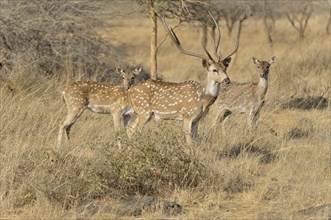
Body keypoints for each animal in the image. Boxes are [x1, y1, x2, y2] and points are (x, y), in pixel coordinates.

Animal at [127, 12, 241, 145]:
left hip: (141, 113)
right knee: (134, 130)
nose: (227, 80)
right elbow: (189, 142)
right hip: (143, 111)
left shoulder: (197, 120)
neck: (203, 99)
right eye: (214, 70)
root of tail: (130, 91)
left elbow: (196, 141)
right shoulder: (187, 116)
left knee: (130, 129)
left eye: (225, 68)